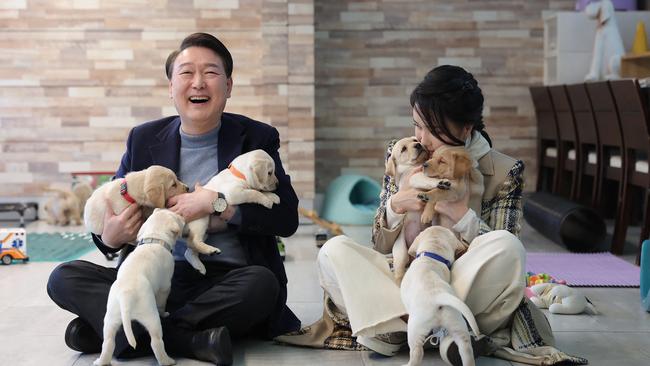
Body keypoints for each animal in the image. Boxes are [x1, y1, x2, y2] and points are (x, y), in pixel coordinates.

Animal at [91, 209, 184, 366]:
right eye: (176, 217)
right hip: (151, 318)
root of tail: (126, 296)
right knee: (156, 342)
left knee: (108, 342)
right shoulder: (165, 286)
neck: (154, 238)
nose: (183, 216)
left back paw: (101, 361)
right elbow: (162, 302)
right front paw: (164, 312)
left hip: (110, 320)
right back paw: (167, 361)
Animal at [400, 226, 480, 366]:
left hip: (415, 328)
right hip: (457, 323)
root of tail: (438, 296)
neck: (432, 255)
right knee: (466, 349)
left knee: (417, 353)